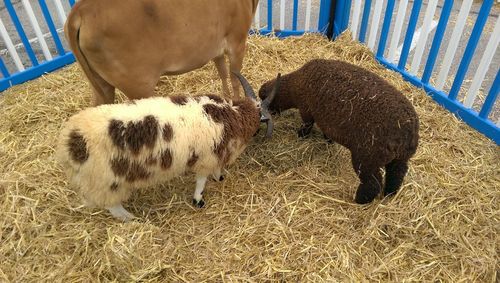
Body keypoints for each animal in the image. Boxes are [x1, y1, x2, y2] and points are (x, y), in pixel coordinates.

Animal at [56, 74, 272, 221]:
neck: (230, 113)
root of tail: (68, 142)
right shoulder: (206, 156)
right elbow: (201, 181)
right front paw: (199, 199)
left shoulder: (216, 151)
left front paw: (219, 177)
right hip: (106, 181)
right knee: (113, 207)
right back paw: (132, 219)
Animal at [260, 60, 420, 205]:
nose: (270, 115)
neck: (296, 84)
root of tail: (408, 130)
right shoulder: (326, 121)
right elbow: (327, 133)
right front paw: (328, 141)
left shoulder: (306, 110)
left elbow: (307, 126)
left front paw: (300, 135)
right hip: (399, 158)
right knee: (397, 174)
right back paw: (389, 194)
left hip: (367, 157)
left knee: (372, 184)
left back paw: (359, 201)